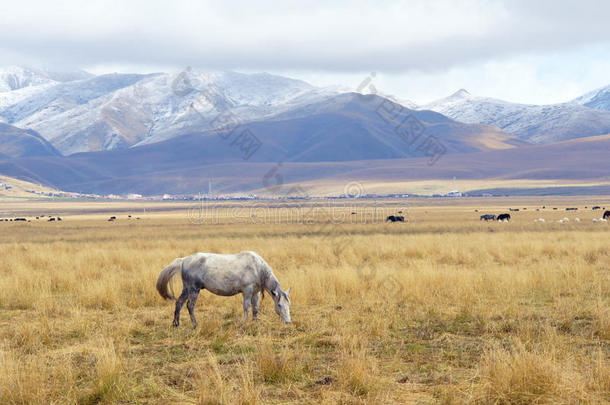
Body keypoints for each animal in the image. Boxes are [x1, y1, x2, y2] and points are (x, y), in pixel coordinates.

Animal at [156, 251, 290, 326]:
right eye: (279, 305)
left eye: (289, 304)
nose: (288, 322)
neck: (257, 267)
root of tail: (184, 260)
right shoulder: (247, 291)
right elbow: (247, 307)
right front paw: (244, 323)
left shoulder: (255, 293)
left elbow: (255, 308)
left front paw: (255, 323)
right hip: (194, 289)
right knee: (190, 306)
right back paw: (195, 325)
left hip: (187, 289)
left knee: (179, 303)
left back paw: (176, 324)